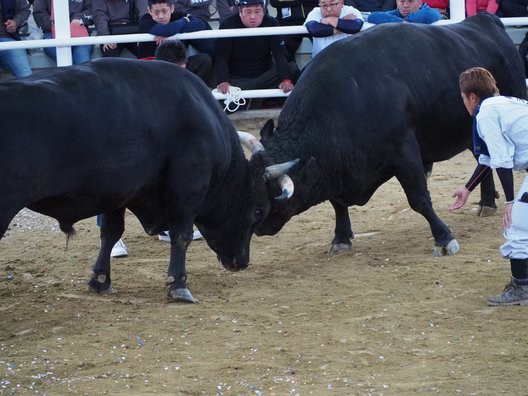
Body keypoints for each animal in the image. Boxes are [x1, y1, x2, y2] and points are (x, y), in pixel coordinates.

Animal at [0, 58, 296, 300]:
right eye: (259, 210)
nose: (241, 262)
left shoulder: (117, 193)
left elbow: (110, 232)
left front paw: (100, 279)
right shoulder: (188, 185)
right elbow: (181, 234)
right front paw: (178, 284)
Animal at [254, 13, 524, 255]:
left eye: (274, 193)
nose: (257, 225)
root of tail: (485, 21)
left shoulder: (404, 151)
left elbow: (418, 198)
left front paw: (444, 237)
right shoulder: (335, 169)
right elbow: (338, 204)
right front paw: (341, 239)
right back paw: (487, 202)